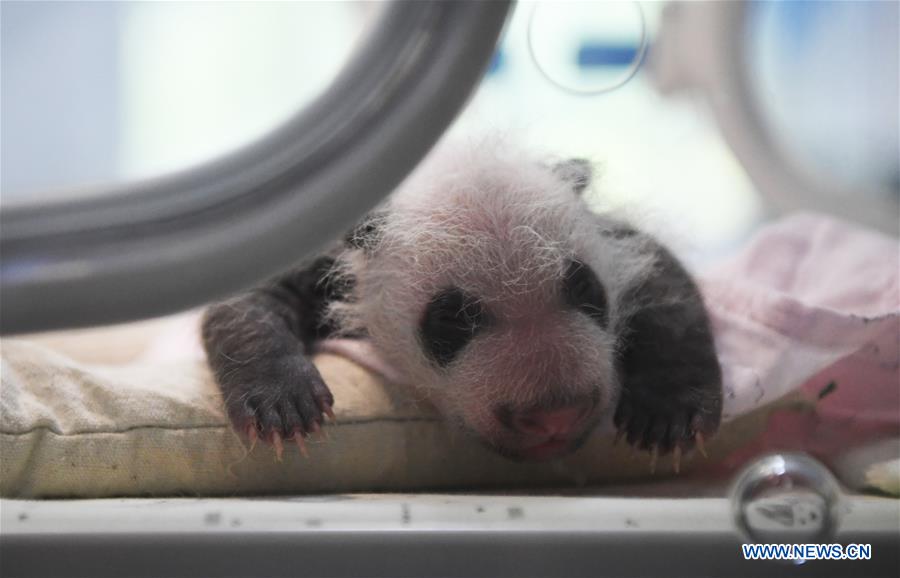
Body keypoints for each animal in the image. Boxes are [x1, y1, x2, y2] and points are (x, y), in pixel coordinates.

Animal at [201, 137, 722, 465]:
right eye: (452, 322)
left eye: (587, 291)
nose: (554, 415)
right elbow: (247, 298)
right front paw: (284, 405)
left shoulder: (611, 238)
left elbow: (662, 277)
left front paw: (669, 413)